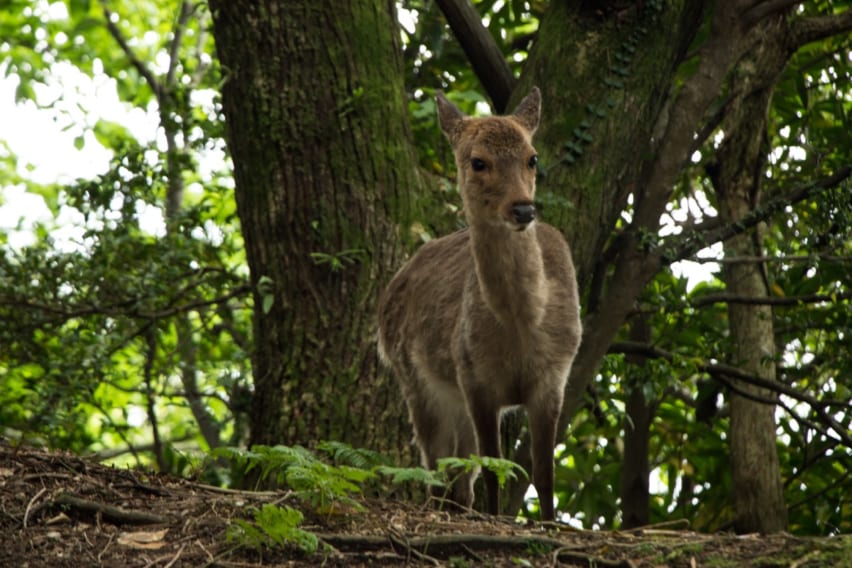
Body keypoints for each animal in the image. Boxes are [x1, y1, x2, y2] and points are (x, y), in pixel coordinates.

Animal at [377, 87, 581, 521]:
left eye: (532, 157)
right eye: (478, 161)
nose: (523, 209)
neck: (522, 324)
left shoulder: (554, 376)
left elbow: (544, 473)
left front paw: (550, 523)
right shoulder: (475, 378)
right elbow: (493, 469)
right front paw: (499, 517)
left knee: (457, 476)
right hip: (418, 382)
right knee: (438, 469)